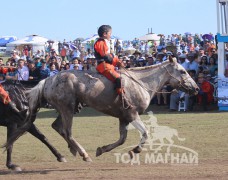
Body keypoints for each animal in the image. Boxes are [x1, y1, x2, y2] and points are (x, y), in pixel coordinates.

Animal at [4, 56, 198, 162]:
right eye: (182, 71)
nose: (195, 88)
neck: (140, 82)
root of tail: (48, 80)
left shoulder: (124, 117)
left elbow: (122, 139)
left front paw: (102, 149)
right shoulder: (132, 114)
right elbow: (145, 133)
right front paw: (136, 150)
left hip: (67, 109)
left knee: (58, 127)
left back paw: (74, 150)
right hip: (67, 109)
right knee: (67, 131)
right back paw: (83, 154)